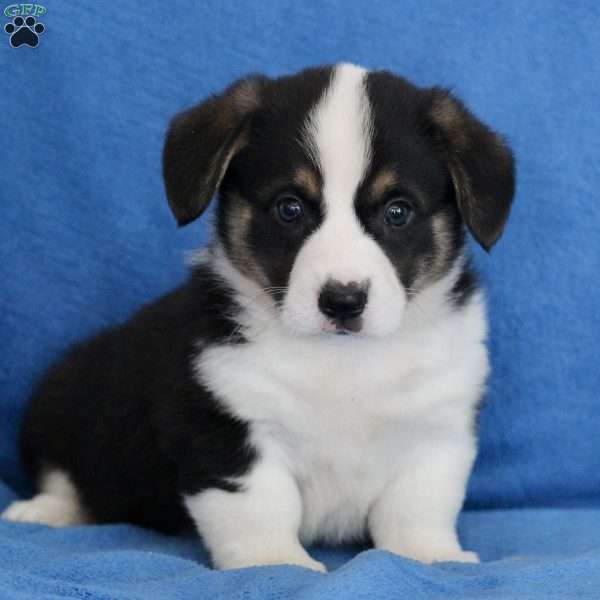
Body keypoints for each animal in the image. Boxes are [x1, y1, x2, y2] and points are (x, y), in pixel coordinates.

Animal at [2, 63, 512, 568]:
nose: (343, 301)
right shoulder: (226, 428)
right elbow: (259, 507)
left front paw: (430, 556)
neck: (342, 361)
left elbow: (416, 507)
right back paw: (42, 511)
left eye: (398, 211)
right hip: (62, 404)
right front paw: (274, 563)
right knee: (63, 477)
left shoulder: (437, 429)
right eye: (289, 207)